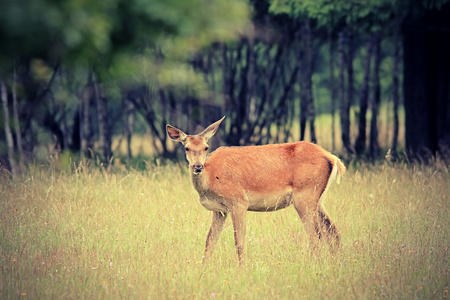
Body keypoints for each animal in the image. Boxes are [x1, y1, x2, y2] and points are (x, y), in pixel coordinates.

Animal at [167, 116, 346, 264]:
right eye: (186, 148)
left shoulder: (238, 201)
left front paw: (242, 268)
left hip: (305, 196)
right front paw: (203, 268)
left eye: (206, 147)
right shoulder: (220, 210)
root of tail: (333, 158)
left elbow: (239, 240)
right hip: (318, 200)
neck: (210, 179)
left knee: (315, 236)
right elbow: (210, 241)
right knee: (334, 233)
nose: (198, 167)